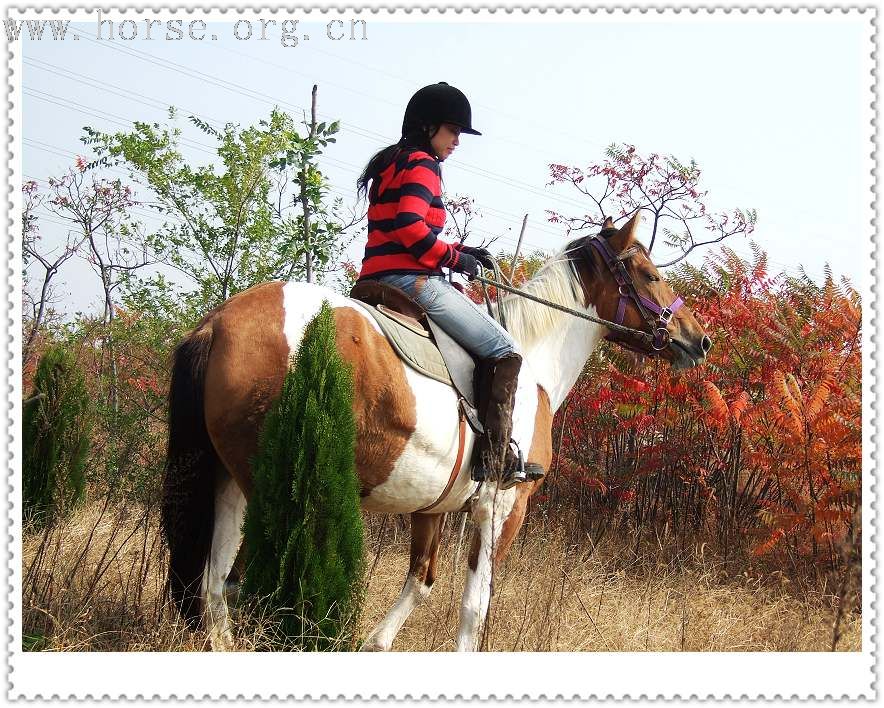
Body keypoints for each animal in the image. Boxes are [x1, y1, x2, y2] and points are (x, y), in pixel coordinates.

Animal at [159, 212, 712, 652]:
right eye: (649, 274)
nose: (699, 339)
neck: (533, 361)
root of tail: (219, 322)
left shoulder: (434, 506)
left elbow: (421, 580)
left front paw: (376, 643)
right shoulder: (502, 509)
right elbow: (474, 609)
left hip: (226, 483)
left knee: (213, 587)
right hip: (266, 489)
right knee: (237, 583)